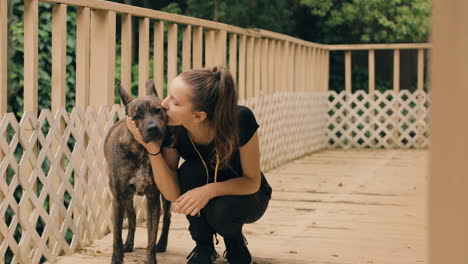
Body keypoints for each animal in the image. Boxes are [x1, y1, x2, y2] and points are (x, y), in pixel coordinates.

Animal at [104, 80, 172, 264]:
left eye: (158, 110)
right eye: (137, 116)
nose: (153, 128)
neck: (141, 150)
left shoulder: (153, 198)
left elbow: (151, 236)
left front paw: (151, 258)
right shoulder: (118, 198)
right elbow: (116, 236)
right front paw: (117, 258)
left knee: (167, 217)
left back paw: (162, 243)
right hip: (126, 197)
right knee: (132, 217)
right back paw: (129, 243)